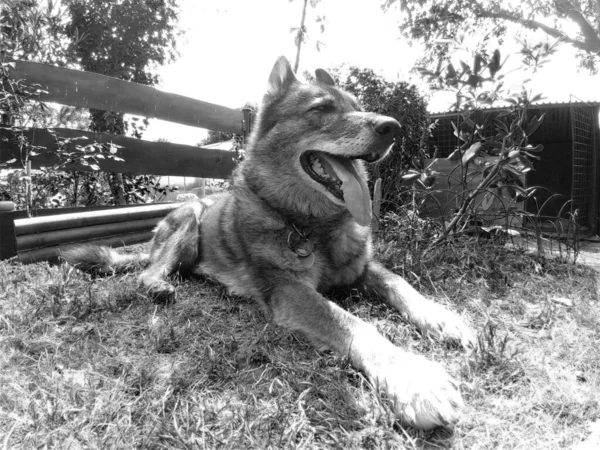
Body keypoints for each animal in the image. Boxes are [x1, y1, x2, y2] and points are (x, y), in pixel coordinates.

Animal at [65, 58, 476, 430]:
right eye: (322, 109)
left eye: (356, 106)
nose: (393, 128)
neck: (312, 225)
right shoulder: (289, 289)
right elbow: (353, 323)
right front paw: (413, 378)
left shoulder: (363, 268)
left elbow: (401, 284)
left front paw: (444, 317)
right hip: (190, 219)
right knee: (148, 271)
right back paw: (160, 285)